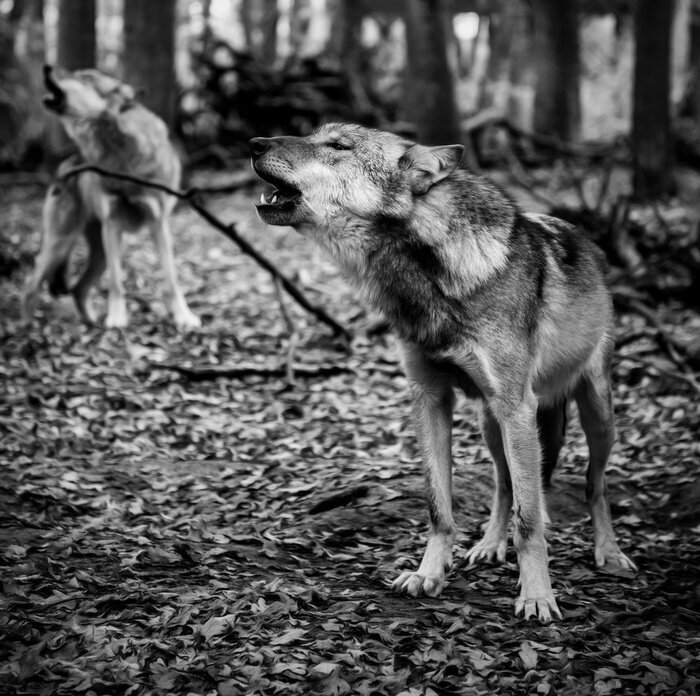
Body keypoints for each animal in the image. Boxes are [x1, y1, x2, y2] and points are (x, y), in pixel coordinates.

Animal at [23, 65, 198, 328]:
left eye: (86, 78)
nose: (47, 67)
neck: (120, 154)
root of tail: (64, 166)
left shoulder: (159, 224)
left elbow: (172, 279)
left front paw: (183, 317)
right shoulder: (112, 224)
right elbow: (116, 282)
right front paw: (116, 320)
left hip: (100, 253)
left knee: (78, 289)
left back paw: (90, 324)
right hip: (62, 243)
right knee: (31, 285)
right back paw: (24, 327)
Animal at [249, 122, 636, 624]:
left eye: (337, 146)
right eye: (316, 135)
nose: (254, 144)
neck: (427, 275)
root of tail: (588, 242)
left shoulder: (516, 405)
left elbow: (531, 521)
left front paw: (536, 595)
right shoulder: (431, 399)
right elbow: (440, 506)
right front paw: (428, 574)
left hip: (591, 413)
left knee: (594, 484)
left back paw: (608, 551)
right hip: (493, 424)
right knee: (504, 484)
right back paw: (489, 545)